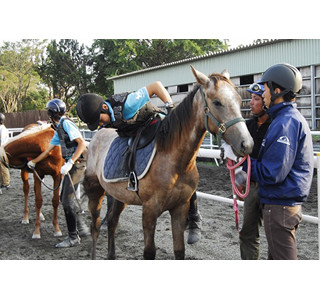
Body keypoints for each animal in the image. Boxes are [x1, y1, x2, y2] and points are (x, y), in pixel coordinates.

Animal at [84, 67, 254, 258]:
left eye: (239, 100)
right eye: (217, 102)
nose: (246, 144)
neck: (174, 161)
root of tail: (96, 137)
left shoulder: (180, 208)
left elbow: (179, 250)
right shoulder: (149, 211)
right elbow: (149, 252)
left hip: (119, 196)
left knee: (112, 222)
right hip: (96, 191)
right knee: (95, 226)